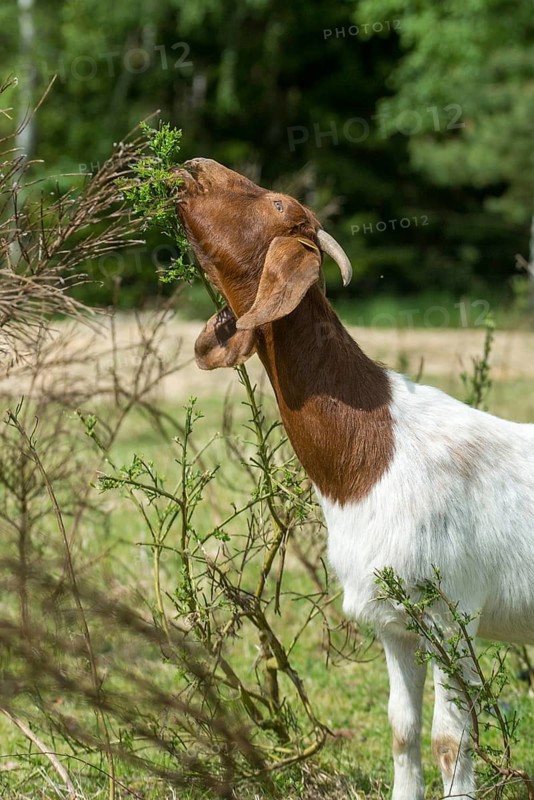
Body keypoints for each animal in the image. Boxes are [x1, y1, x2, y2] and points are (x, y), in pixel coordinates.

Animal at [174, 157, 534, 800]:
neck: (374, 454)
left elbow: (451, 741)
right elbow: (402, 730)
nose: (194, 167)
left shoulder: (453, 615)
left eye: (277, 203)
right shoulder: (396, 624)